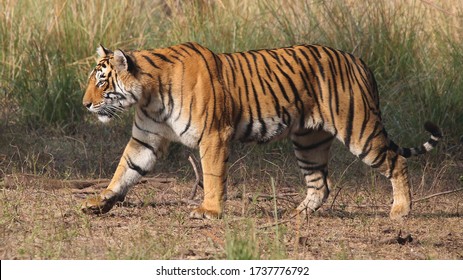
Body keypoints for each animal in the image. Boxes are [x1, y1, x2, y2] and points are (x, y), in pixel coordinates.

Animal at [82, 42, 442, 220]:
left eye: (101, 81)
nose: (85, 104)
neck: (149, 95)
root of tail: (360, 61)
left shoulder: (214, 135)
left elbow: (213, 175)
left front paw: (209, 211)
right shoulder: (146, 139)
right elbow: (125, 170)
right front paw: (99, 202)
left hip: (359, 130)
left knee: (397, 162)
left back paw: (401, 211)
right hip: (308, 141)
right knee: (320, 184)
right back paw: (296, 214)